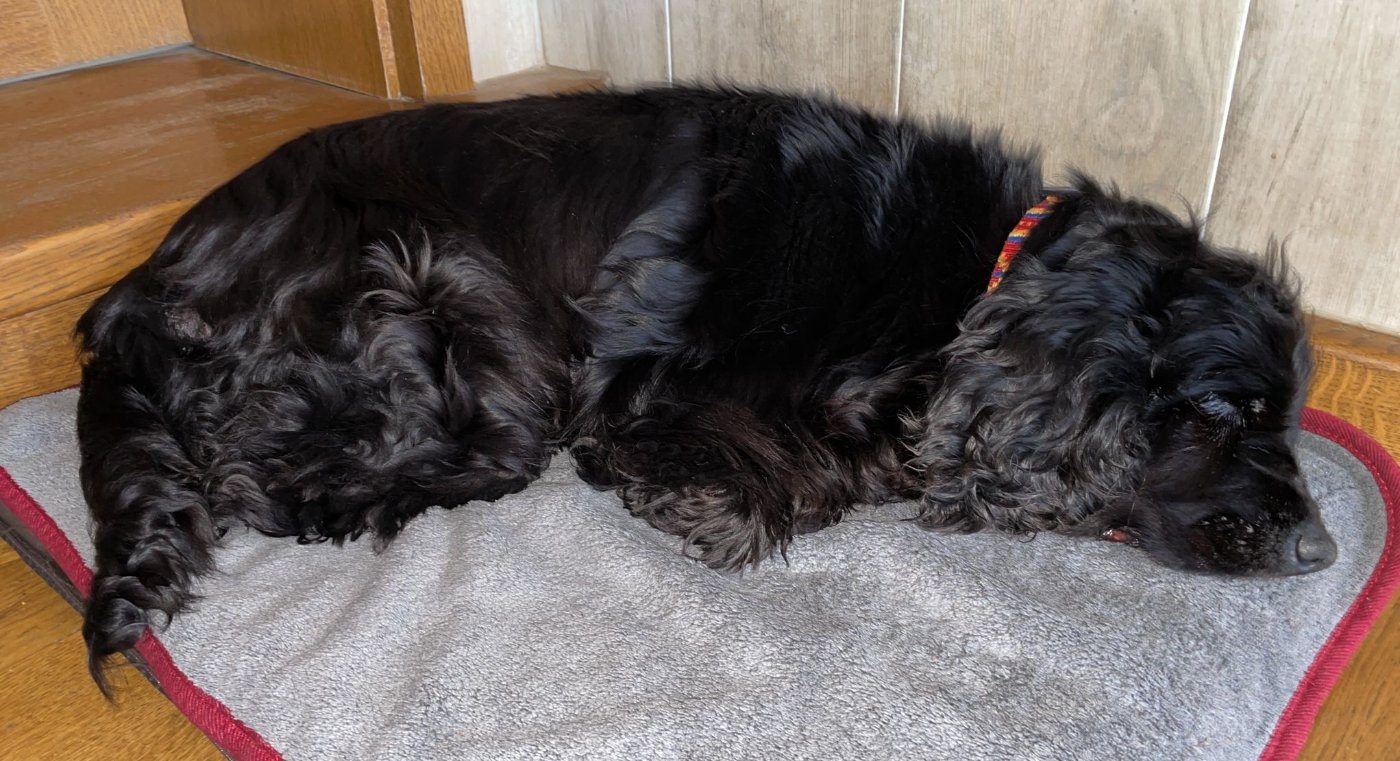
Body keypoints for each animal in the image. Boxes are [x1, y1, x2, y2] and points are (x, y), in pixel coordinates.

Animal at [75, 86, 1333, 692]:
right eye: (1225, 410)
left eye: (1283, 412)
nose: (1321, 548)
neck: (968, 280)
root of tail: (135, 290)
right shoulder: (651, 386)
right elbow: (755, 485)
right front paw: (693, 492)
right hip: (455, 296)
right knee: (270, 473)